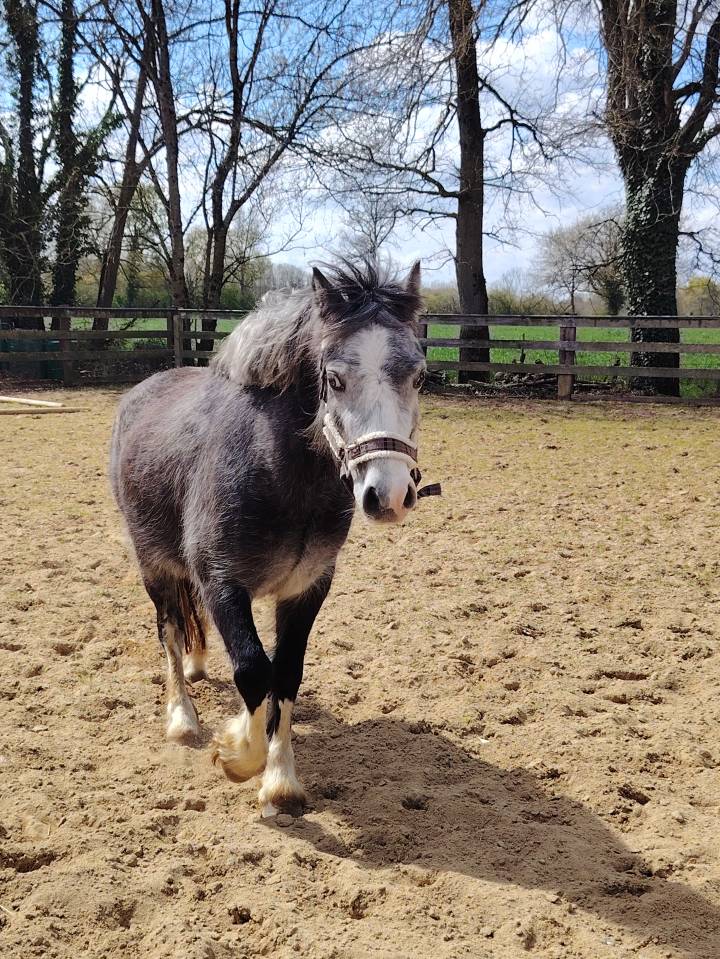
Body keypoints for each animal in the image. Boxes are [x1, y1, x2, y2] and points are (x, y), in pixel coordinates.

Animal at [109, 260, 436, 816]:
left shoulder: (307, 588)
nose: (388, 495)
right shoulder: (222, 585)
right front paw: (237, 754)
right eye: (334, 379)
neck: (279, 477)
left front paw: (280, 780)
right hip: (154, 567)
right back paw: (182, 718)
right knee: (169, 632)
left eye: (418, 375)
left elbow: (285, 675)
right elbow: (252, 672)